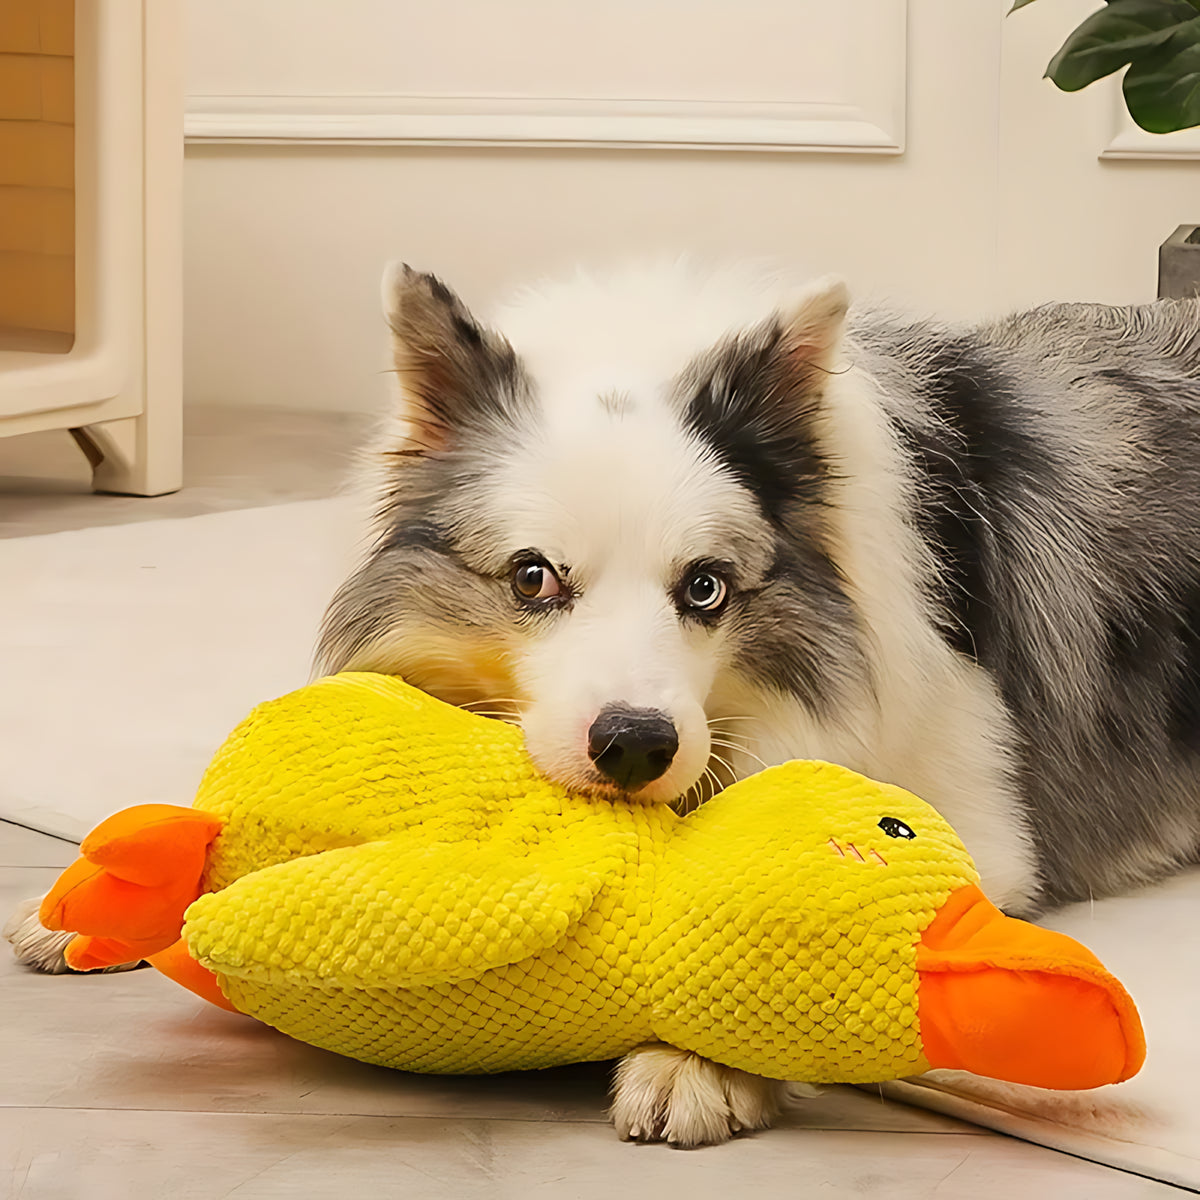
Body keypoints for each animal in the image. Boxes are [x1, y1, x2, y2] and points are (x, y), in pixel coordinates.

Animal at [9, 260, 1200, 1142]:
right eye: (533, 577)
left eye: (706, 586)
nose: (634, 746)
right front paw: (100, 892)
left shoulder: (983, 824)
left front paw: (697, 1065)